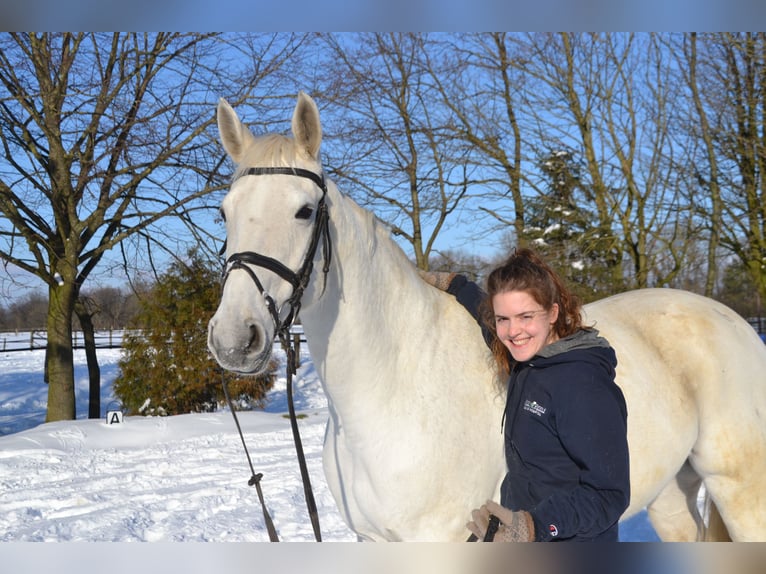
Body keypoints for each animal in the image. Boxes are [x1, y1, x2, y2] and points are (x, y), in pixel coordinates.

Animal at [207, 92, 766, 544]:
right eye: (224, 212)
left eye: (304, 211)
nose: (235, 337)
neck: (394, 388)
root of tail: (733, 321)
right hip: (669, 492)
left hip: (740, 489)